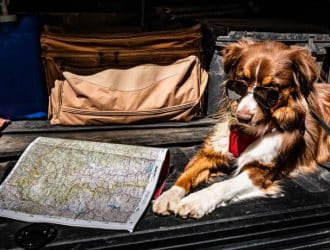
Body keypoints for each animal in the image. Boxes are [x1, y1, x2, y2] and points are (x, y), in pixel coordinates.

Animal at [153, 38, 330, 219]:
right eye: (240, 83)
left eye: (271, 90)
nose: (242, 117)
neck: (250, 131)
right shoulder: (210, 153)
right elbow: (187, 174)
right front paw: (169, 196)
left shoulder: (261, 170)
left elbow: (224, 185)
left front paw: (196, 200)